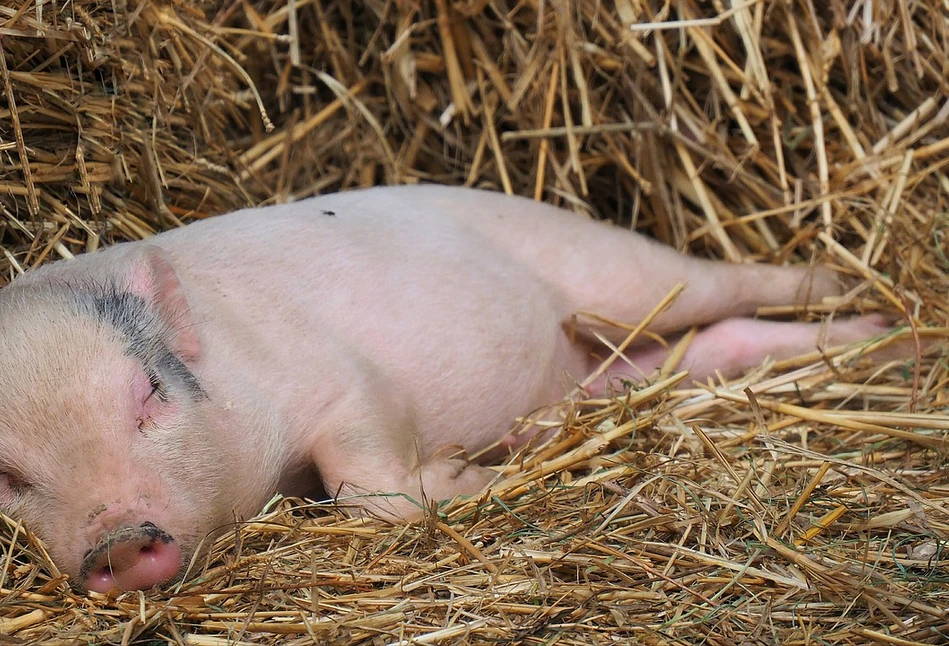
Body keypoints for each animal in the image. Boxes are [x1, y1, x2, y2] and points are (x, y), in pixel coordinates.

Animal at [0, 185, 896, 596]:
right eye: (8, 476)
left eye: (150, 390)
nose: (118, 540)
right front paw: (482, 467)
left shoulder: (343, 382)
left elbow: (368, 484)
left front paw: (468, 473)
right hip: (620, 360)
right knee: (709, 345)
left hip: (618, 271)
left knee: (727, 282)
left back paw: (869, 304)